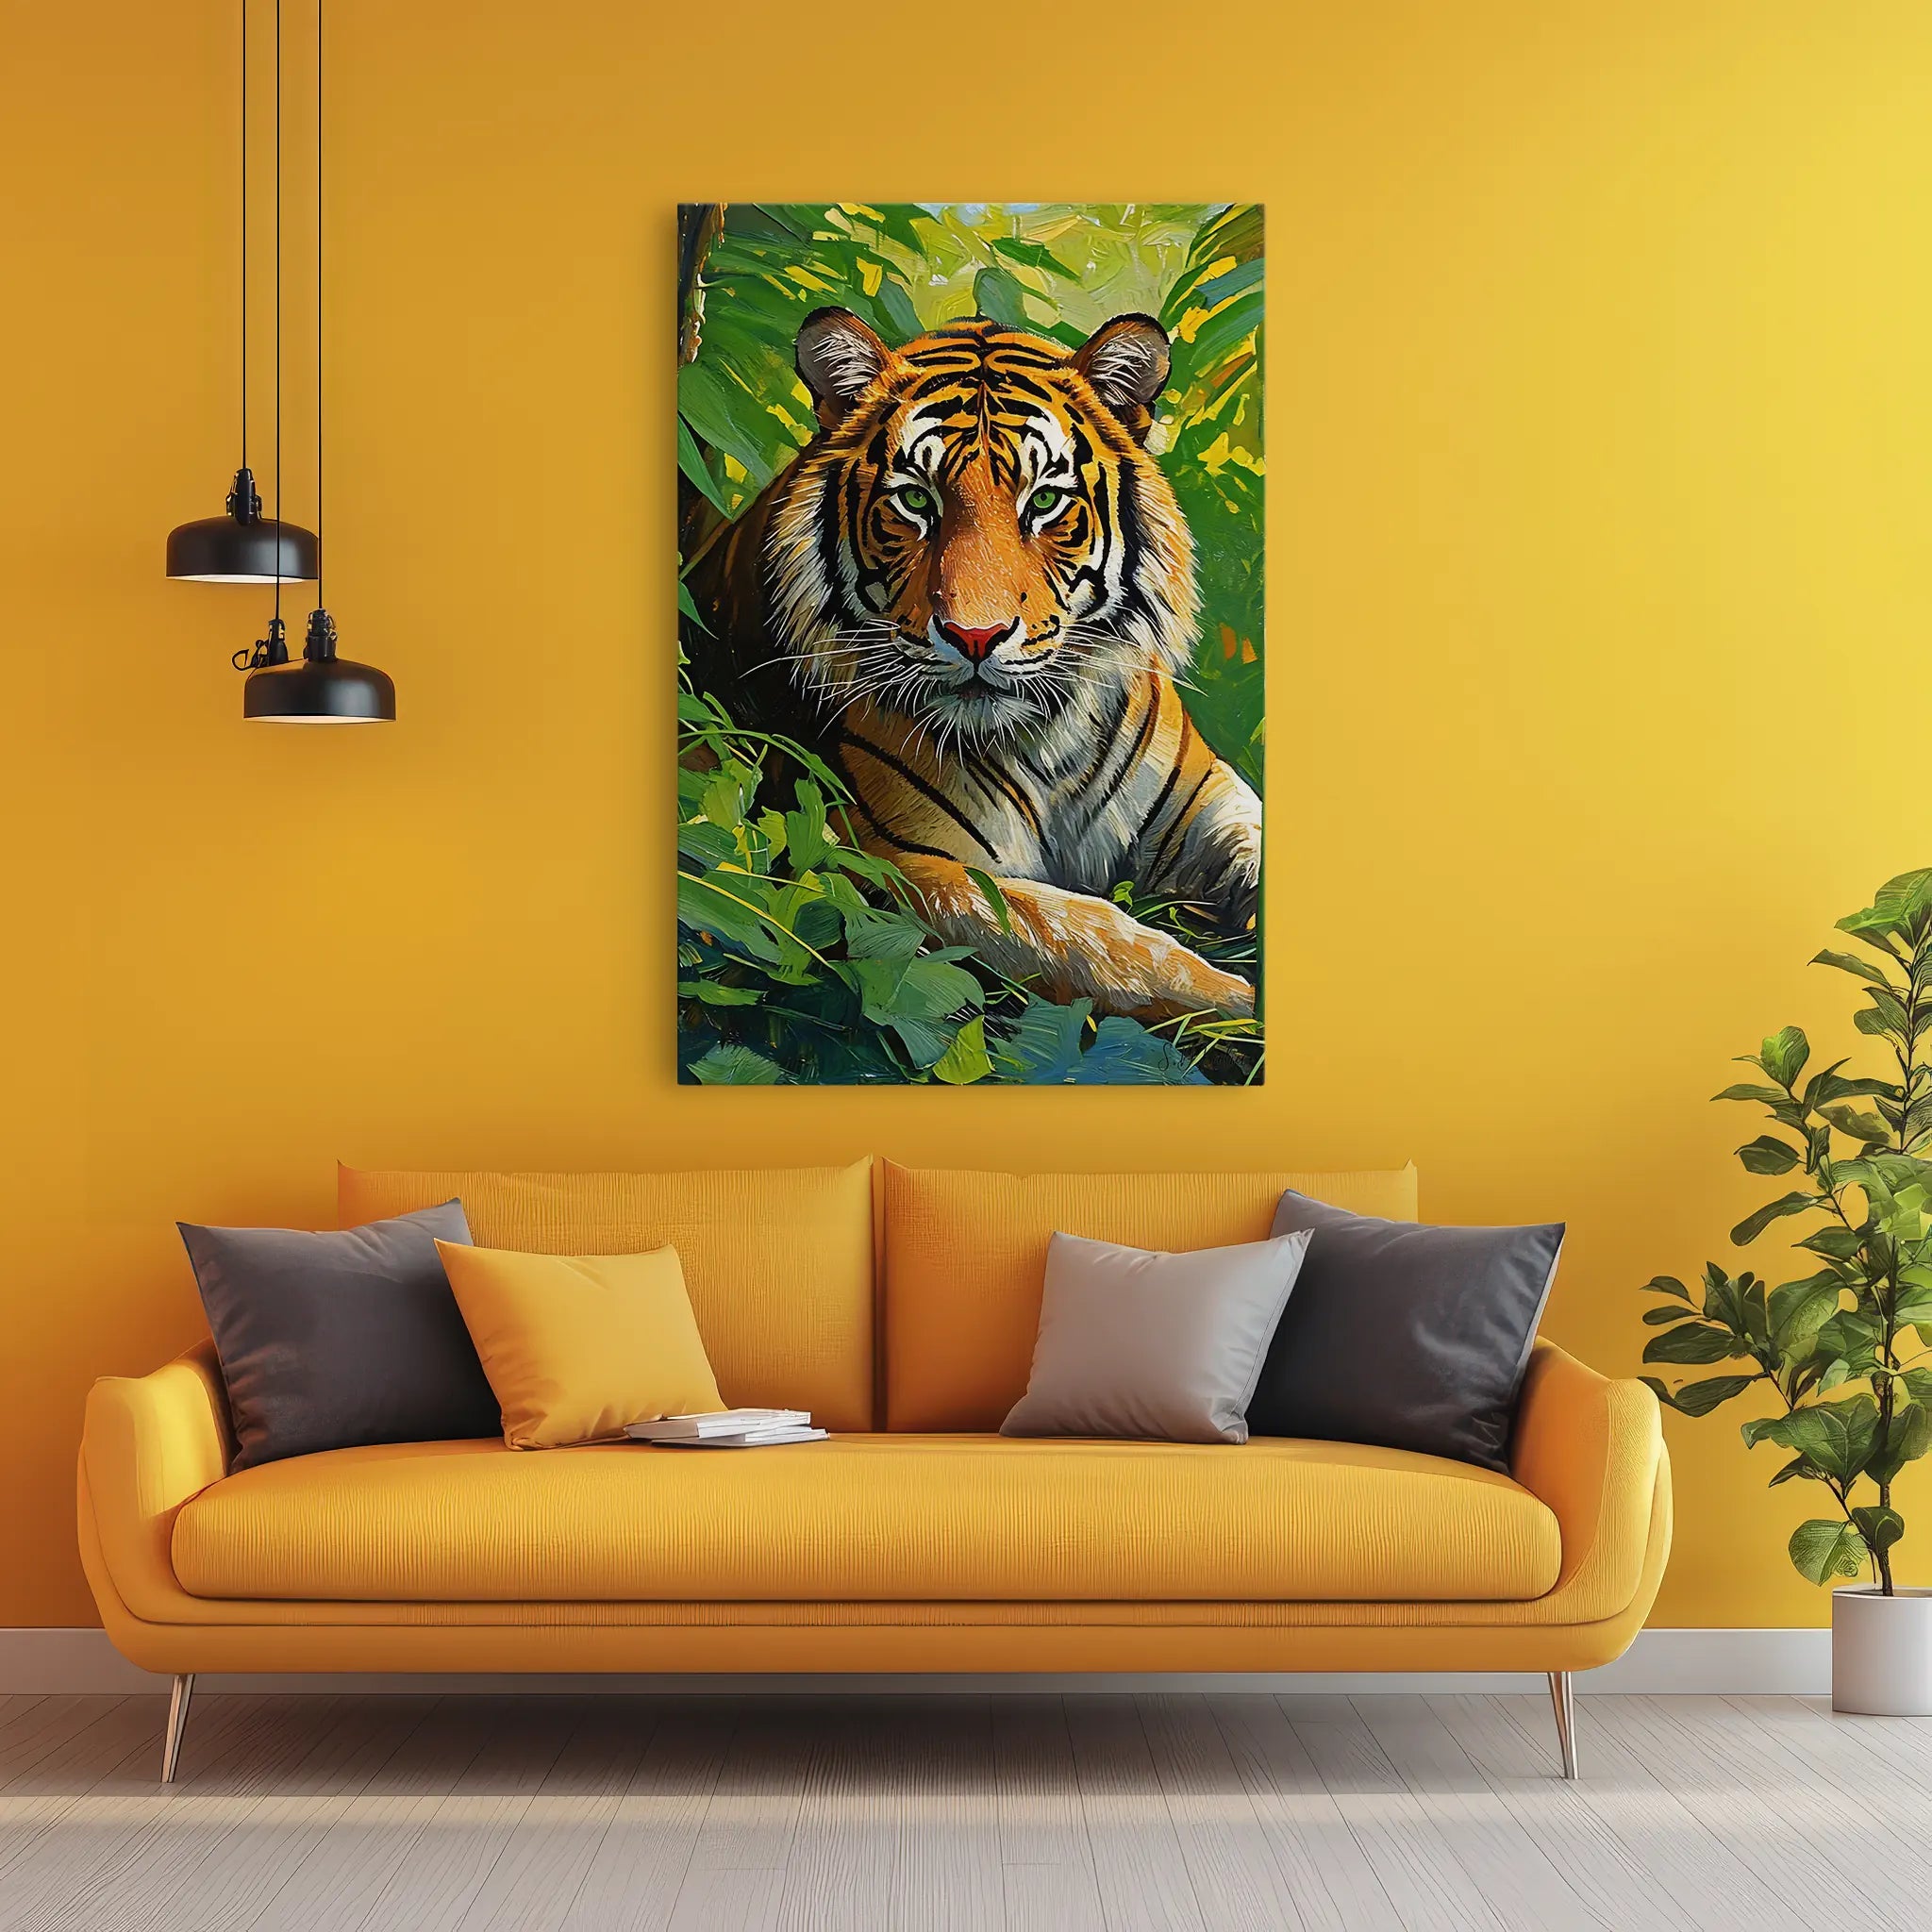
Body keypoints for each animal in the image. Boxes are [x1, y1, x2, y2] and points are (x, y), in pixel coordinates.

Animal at [684, 306, 1261, 1022]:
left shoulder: (1209, 797)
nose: (976, 636)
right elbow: (1090, 938)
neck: (1049, 744)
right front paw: (1237, 1000)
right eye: (915, 501)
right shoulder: (899, 862)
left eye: (1043, 502)